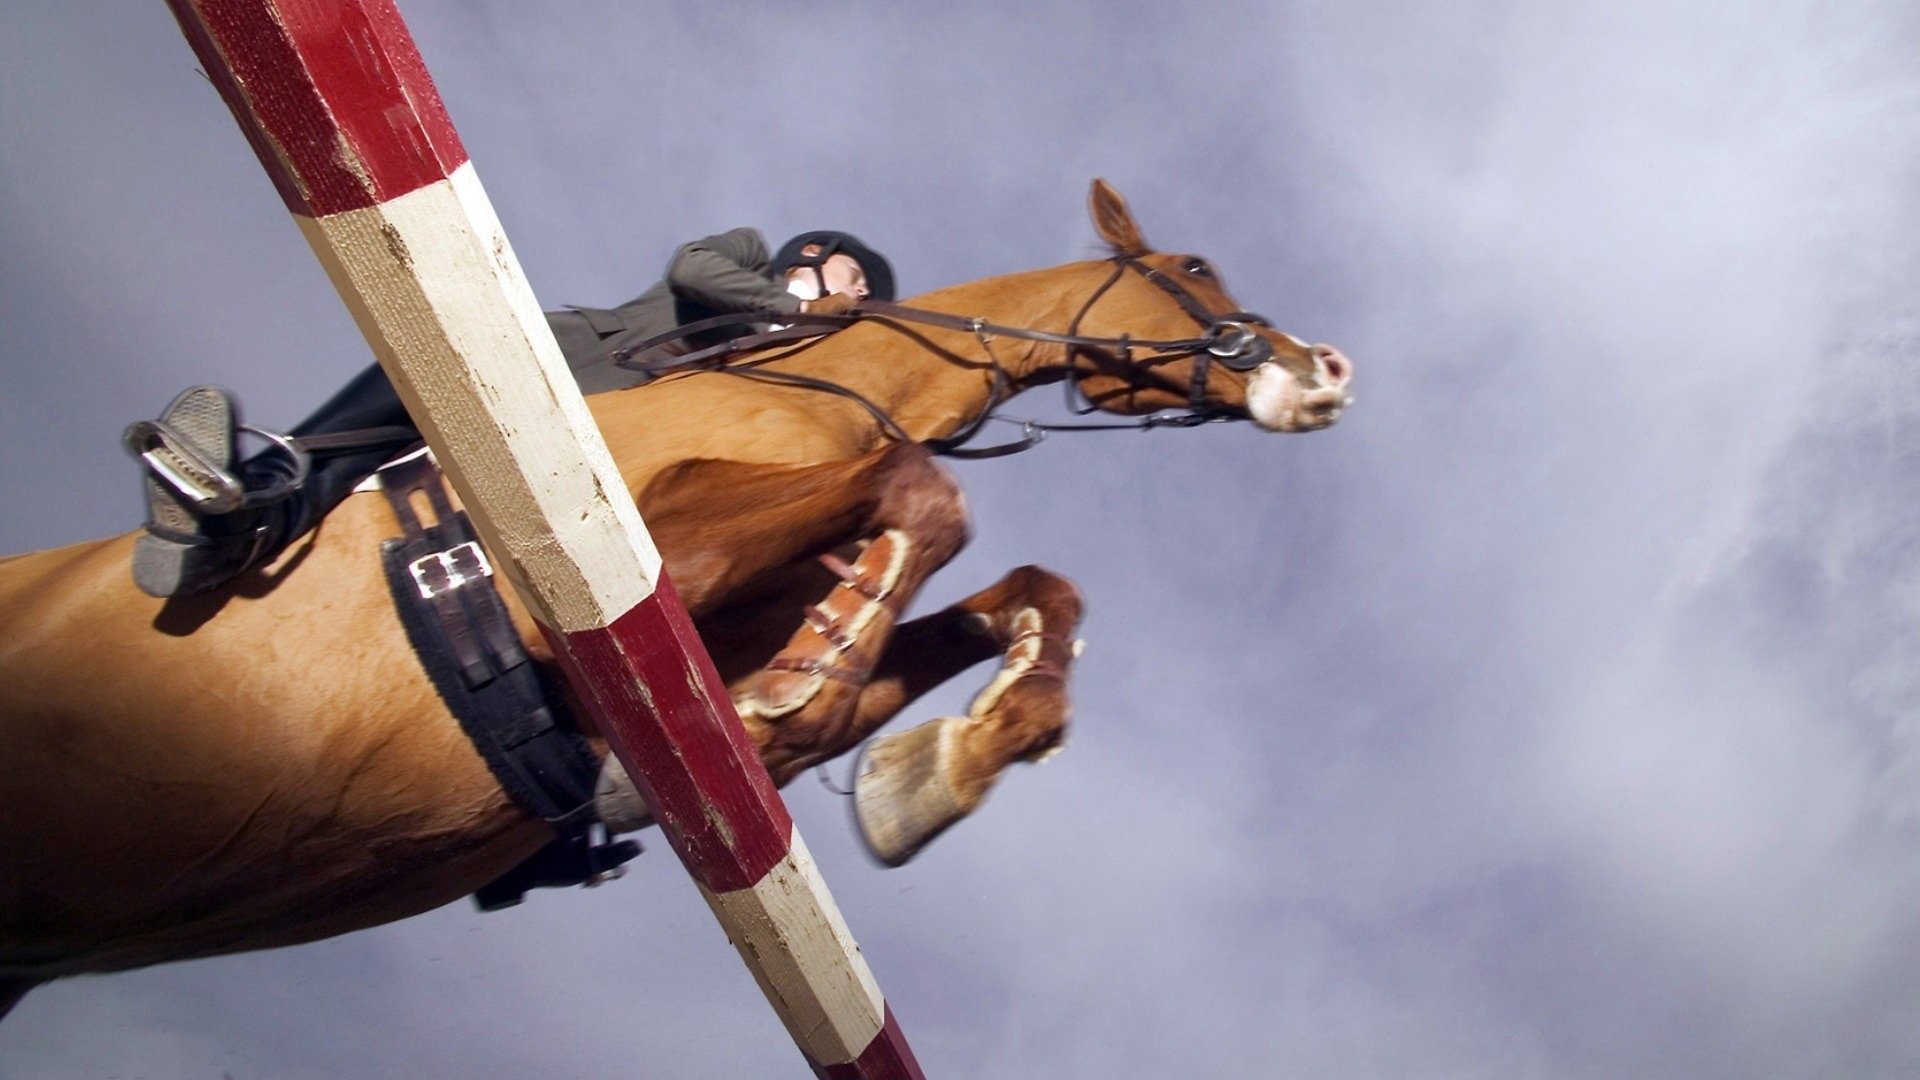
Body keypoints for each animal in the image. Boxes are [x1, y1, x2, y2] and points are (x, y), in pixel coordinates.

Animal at [0, 176, 1351, 1006]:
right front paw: (817, 685)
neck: (832, 388)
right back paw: (207, 493)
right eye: (1193, 263)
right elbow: (921, 495)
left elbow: (1015, 594)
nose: (1326, 373)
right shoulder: (583, 578)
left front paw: (932, 766)